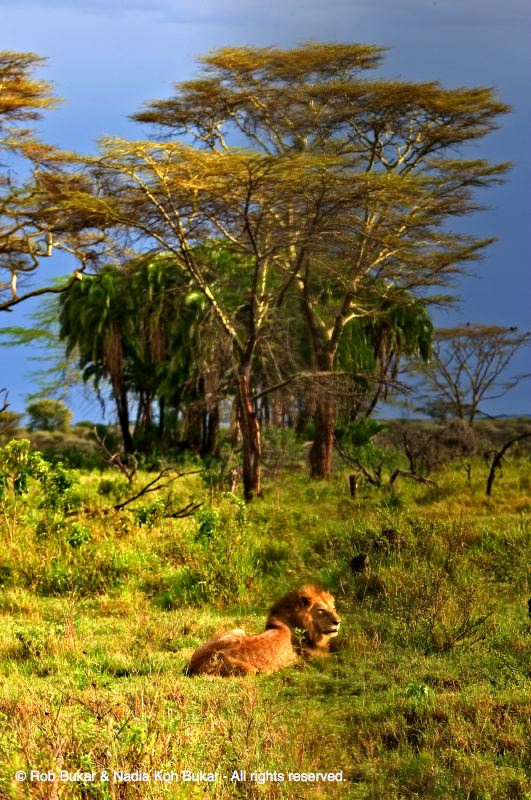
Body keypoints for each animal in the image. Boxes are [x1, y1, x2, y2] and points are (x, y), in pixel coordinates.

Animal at [184, 585, 340, 676]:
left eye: (333, 608)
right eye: (321, 610)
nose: (337, 622)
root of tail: (191, 663)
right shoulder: (318, 658)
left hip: (239, 630)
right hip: (250, 670)